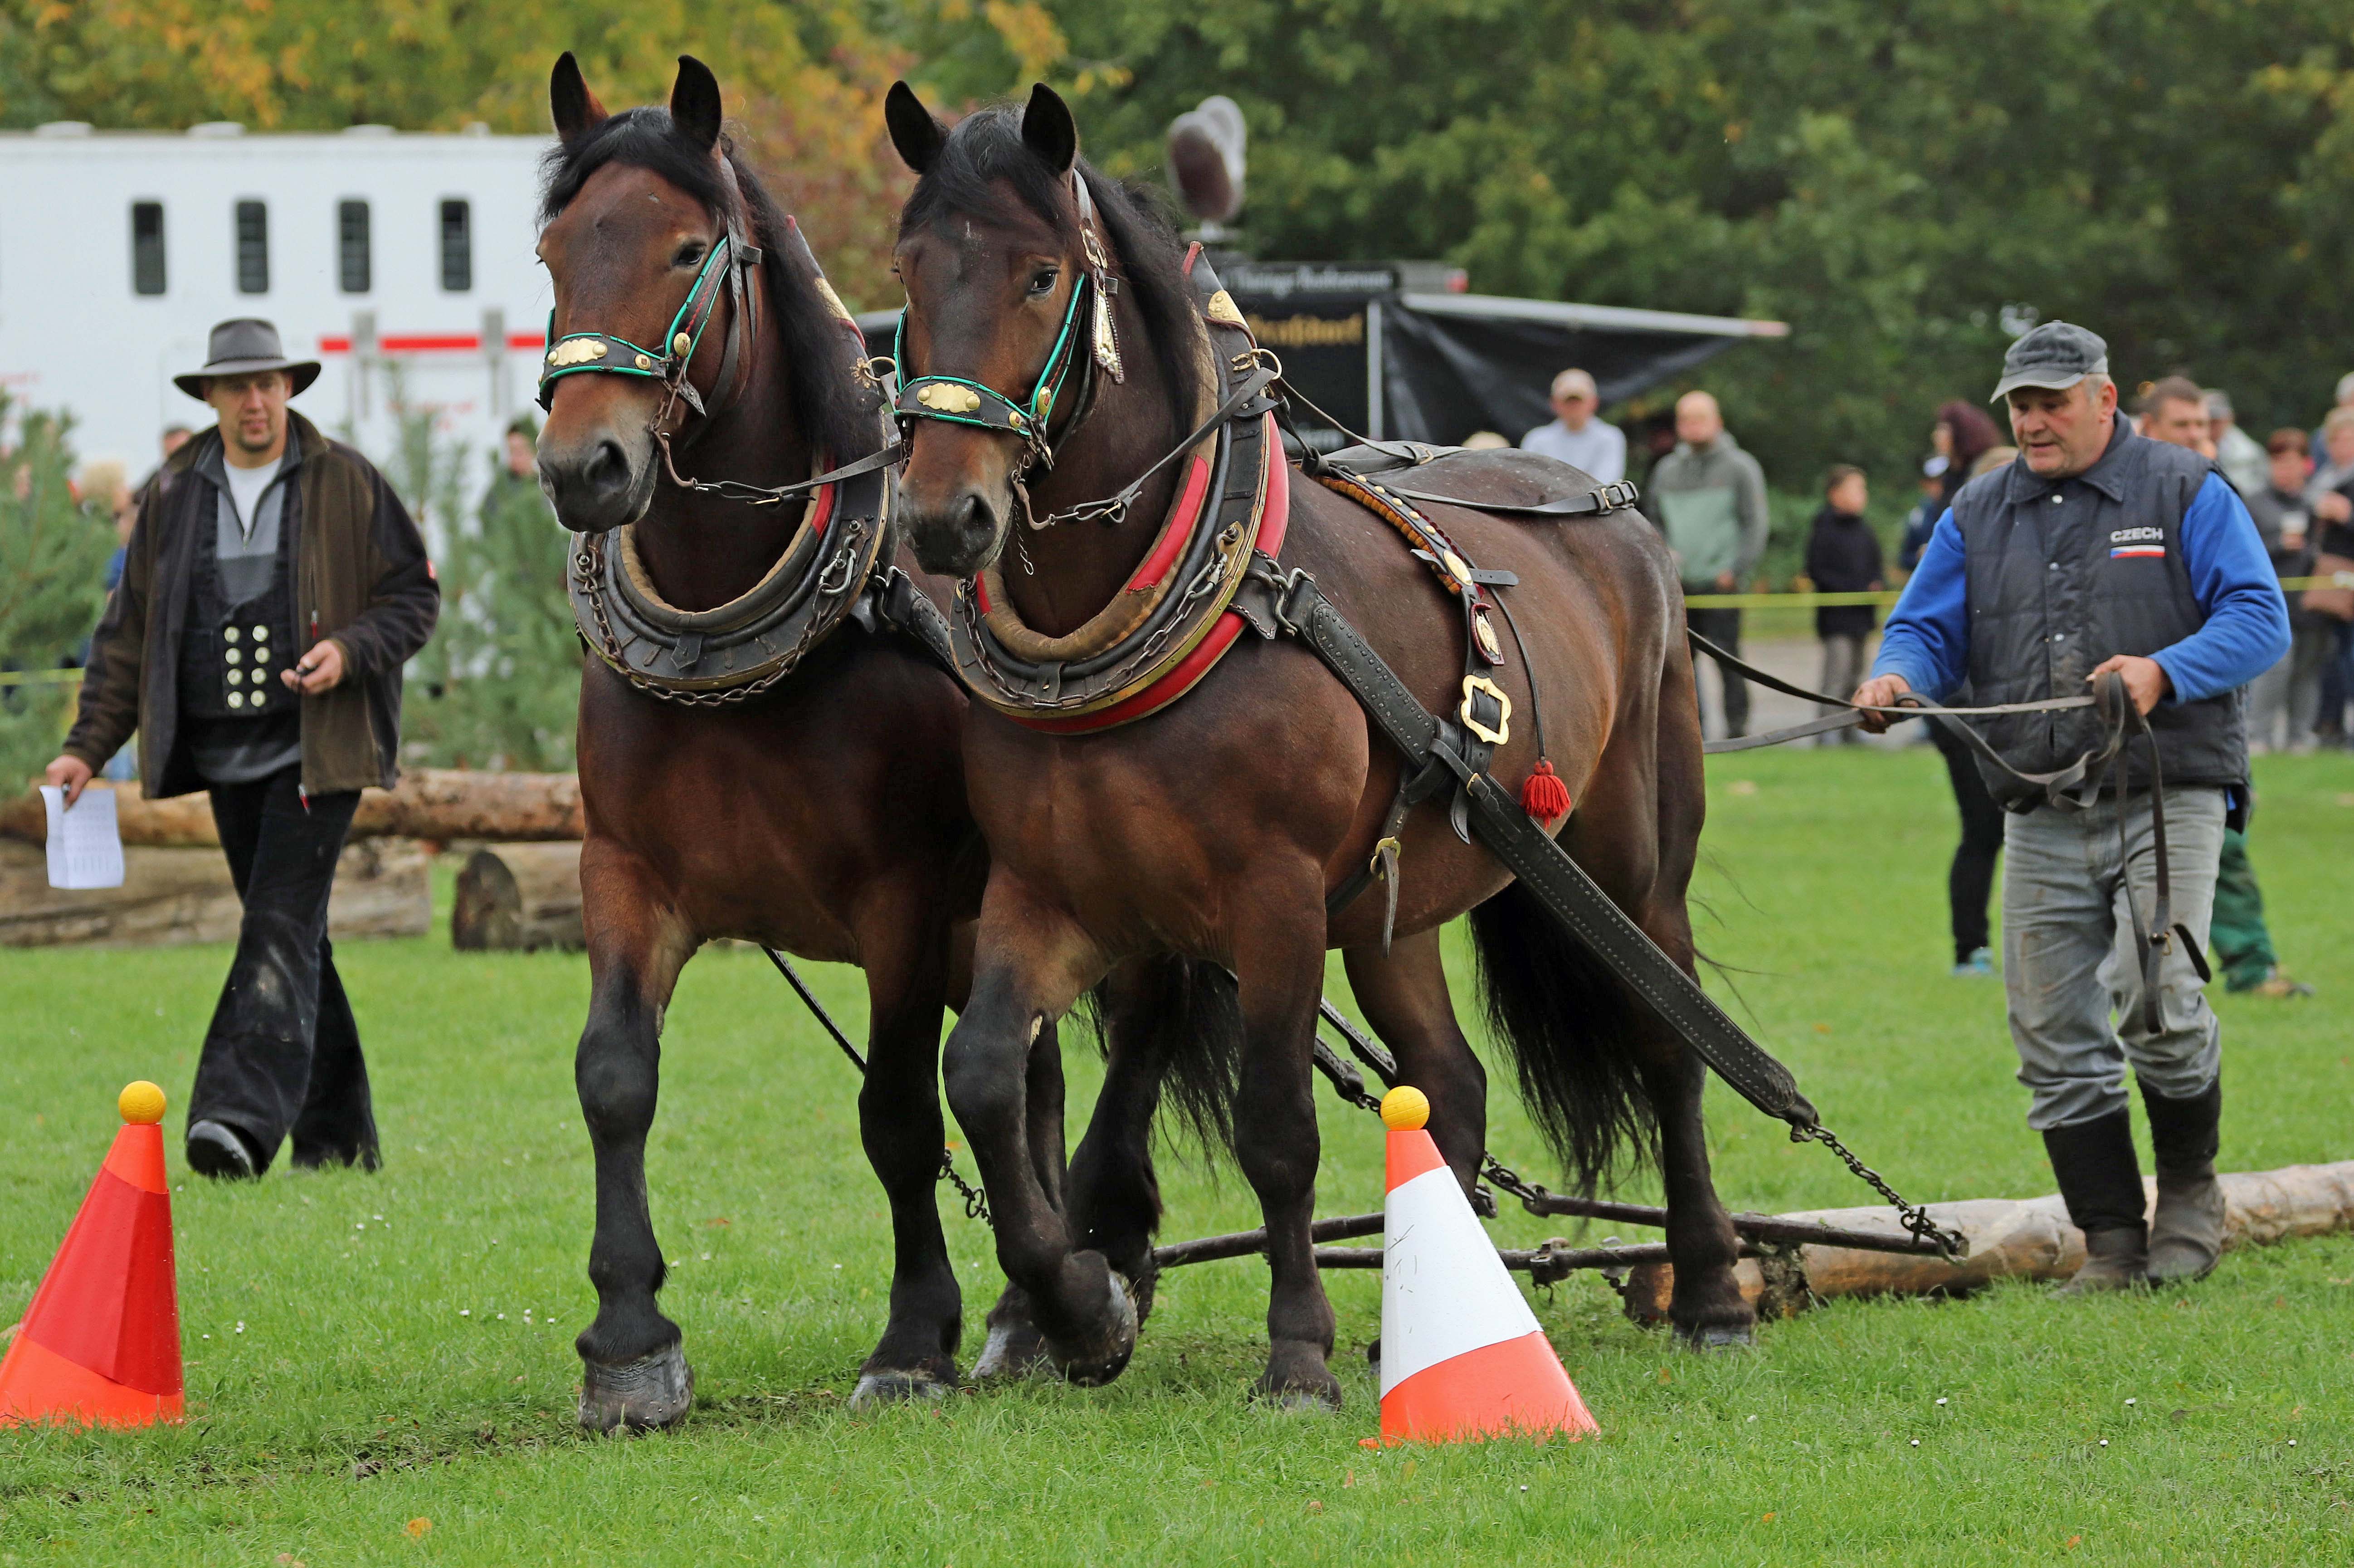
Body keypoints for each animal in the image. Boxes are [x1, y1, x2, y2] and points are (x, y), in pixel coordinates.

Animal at [534, 55, 1012, 1422]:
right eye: (550, 253)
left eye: (687, 248)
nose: (585, 466)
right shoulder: (625, 873)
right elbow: (612, 1076)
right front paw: (628, 1337)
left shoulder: (905, 897)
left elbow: (897, 1111)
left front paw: (913, 1334)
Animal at [885, 85, 1751, 1403]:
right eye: (912, 272)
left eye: (1040, 275)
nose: (945, 515)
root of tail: (1622, 518)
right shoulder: (1052, 892)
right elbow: (981, 1071)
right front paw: (1079, 1307)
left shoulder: (1274, 896)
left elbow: (1275, 1127)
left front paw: (1295, 1347)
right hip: (1393, 901)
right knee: (1450, 1081)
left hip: (1626, 859)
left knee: (1666, 1038)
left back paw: (1706, 1287)